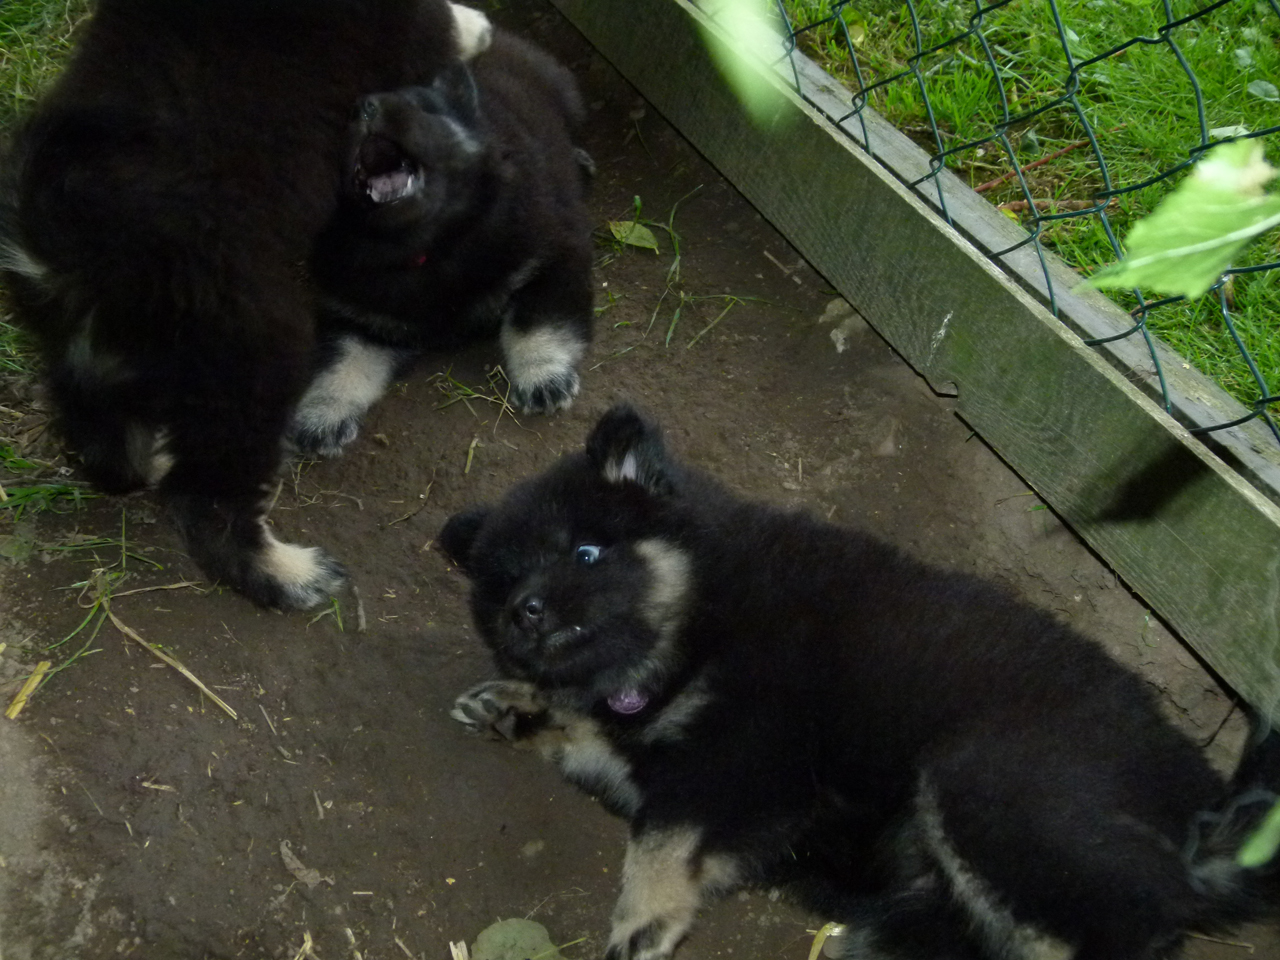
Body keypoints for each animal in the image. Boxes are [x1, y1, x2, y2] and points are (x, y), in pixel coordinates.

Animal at [0, 0, 492, 610]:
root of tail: (68, 247)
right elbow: (444, 26)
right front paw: (479, 26)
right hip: (252, 351)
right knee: (208, 502)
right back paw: (291, 575)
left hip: (85, 353)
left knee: (107, 446)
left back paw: (150, 453)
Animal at [298, 29, 596, 458]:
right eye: (345, 126)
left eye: (420, 109)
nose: (364, 107)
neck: (430, 244)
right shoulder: (355, 317)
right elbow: (340, 363)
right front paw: (321, 415)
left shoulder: (556, 257)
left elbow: (536, 321)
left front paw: (544, 377)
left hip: (566, 99)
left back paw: (582, 162)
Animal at [442, 404, 1280, 960]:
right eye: (502, 584)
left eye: (585, 553)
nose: (524, 612)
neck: (700, 612)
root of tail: (1200, 811)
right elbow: (597, 740)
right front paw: (517, 706)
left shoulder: (747, 761)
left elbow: (661, 839)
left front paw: (639, 922)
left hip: (990, 784)